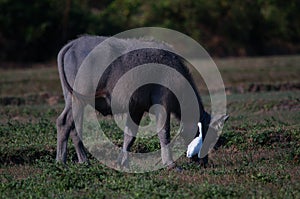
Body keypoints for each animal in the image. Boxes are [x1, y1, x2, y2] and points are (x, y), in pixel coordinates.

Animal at [55, 35, 227, 169]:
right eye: (209, 136)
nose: (204, 161)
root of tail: (73, 44)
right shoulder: (162, 105)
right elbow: (164, 133)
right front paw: (169, 163)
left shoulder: (136, 110)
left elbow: (129, 136)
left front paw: (123, 162)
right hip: (78, 100)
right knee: (67, 123)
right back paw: (68, 160)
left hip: (73, 101)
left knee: (70, 126)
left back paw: (75, 160)